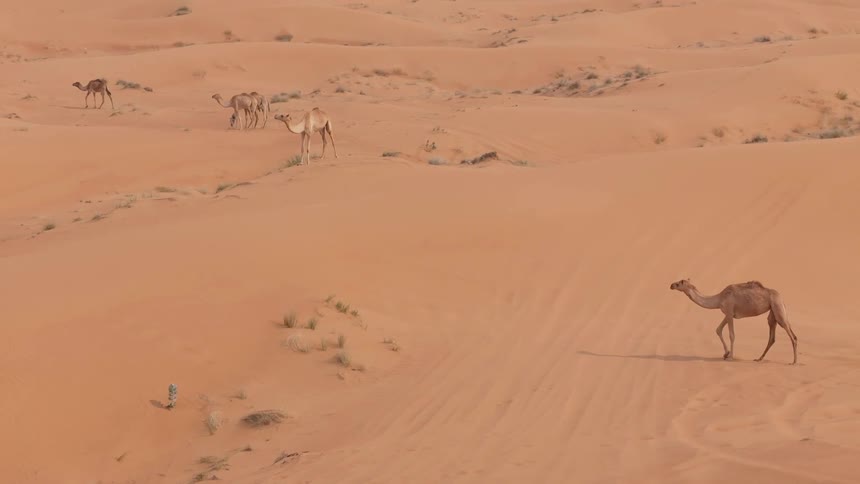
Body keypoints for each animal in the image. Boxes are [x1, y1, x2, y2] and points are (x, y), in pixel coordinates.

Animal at [670, 279, 798, 364]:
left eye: (679, 283)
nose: (671, 285)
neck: (719, 299)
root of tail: (781, 297)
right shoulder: (728, 313)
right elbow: (718, 329)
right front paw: (725, 354)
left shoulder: (730, 311)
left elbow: (732, 334)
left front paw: (730, 356)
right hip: (774, 311)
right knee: (774, 336)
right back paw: (759, 359)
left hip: (777, 307)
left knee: (791, 335)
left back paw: (794, 361)